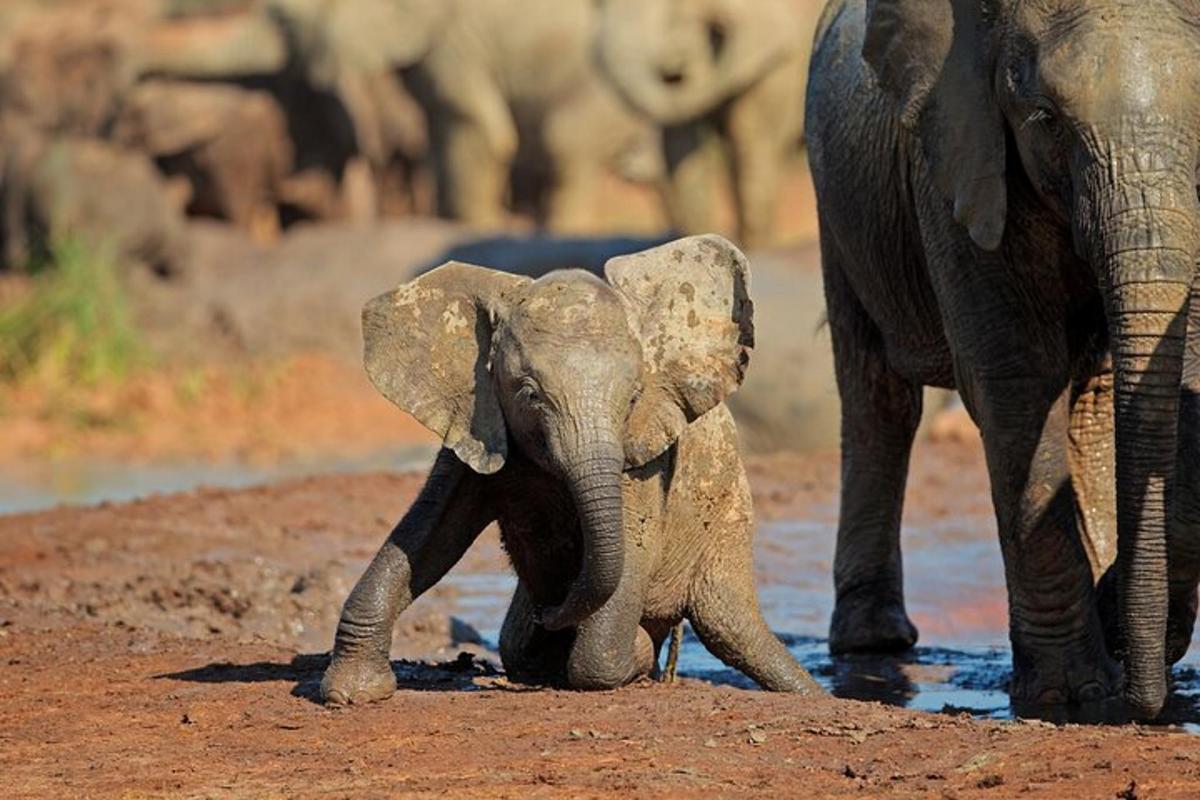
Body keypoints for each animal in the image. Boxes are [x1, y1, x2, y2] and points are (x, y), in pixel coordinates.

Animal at [324, 235, 820, 705]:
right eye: (529, 394)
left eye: (634, 396)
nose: (550, 613)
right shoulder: (476, 418)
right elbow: (429, 534)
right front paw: (352, 693)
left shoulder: (646, 452)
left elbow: (630, 553)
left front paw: (626, 653)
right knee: (517, 645)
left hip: (727, 523)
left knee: (730, 631)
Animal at [806, 0, 1200, 719]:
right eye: (1044, 118)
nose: (1145, 701)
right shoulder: (957, 156)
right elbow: (1015, 376)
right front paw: (1070, 695)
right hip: (840, 206)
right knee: (879, 395)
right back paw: (875, 642)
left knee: (1094, 398)